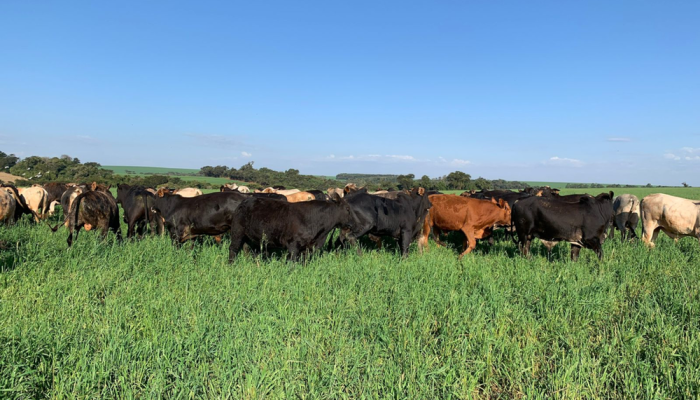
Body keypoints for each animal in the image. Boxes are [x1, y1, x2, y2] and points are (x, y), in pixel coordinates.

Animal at [228, 194, 360, 262]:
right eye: (347, 209)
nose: (354, 224)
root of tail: (245, 200)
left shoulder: (307, 248)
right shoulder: (293, 245)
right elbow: (292, 263)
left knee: (248, 250)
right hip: (237, 232)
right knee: (233, 249)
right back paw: (231, 264)